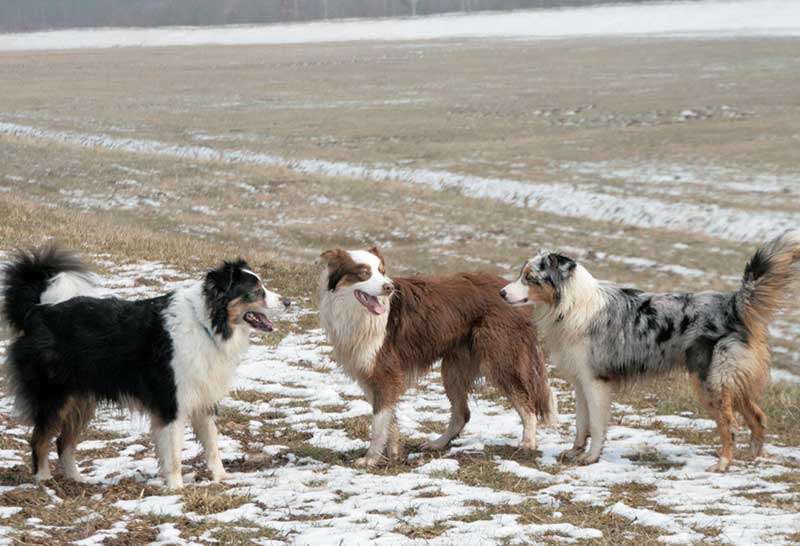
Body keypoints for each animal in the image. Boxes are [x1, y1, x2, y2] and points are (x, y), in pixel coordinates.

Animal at [0, 244, 288, 486]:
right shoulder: (172, 403)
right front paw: (176, 488)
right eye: (255, 291)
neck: (208, 324)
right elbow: (174, 453)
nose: (288, 302)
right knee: (39, 439)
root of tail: (38, 311)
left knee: (64, 442)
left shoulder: (203, 398)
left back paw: (76, 481)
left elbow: (212, 446)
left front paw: (221, 478)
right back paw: (44, 480)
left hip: (82, 399)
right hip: (55, 397)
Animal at [318, 246, 556, 464]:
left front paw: (370, 460)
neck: (359, 316)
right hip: (453, 367)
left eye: (382, 271)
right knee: (462, 414)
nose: (389, 287)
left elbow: (378, 424)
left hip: (499, 359)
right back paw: (438, 443)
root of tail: (513, 292)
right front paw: (394, 453)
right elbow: (389, 420)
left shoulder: (386, 373)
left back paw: (527, 443)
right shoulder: (370, 375)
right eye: (363, 273)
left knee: (527, 404)